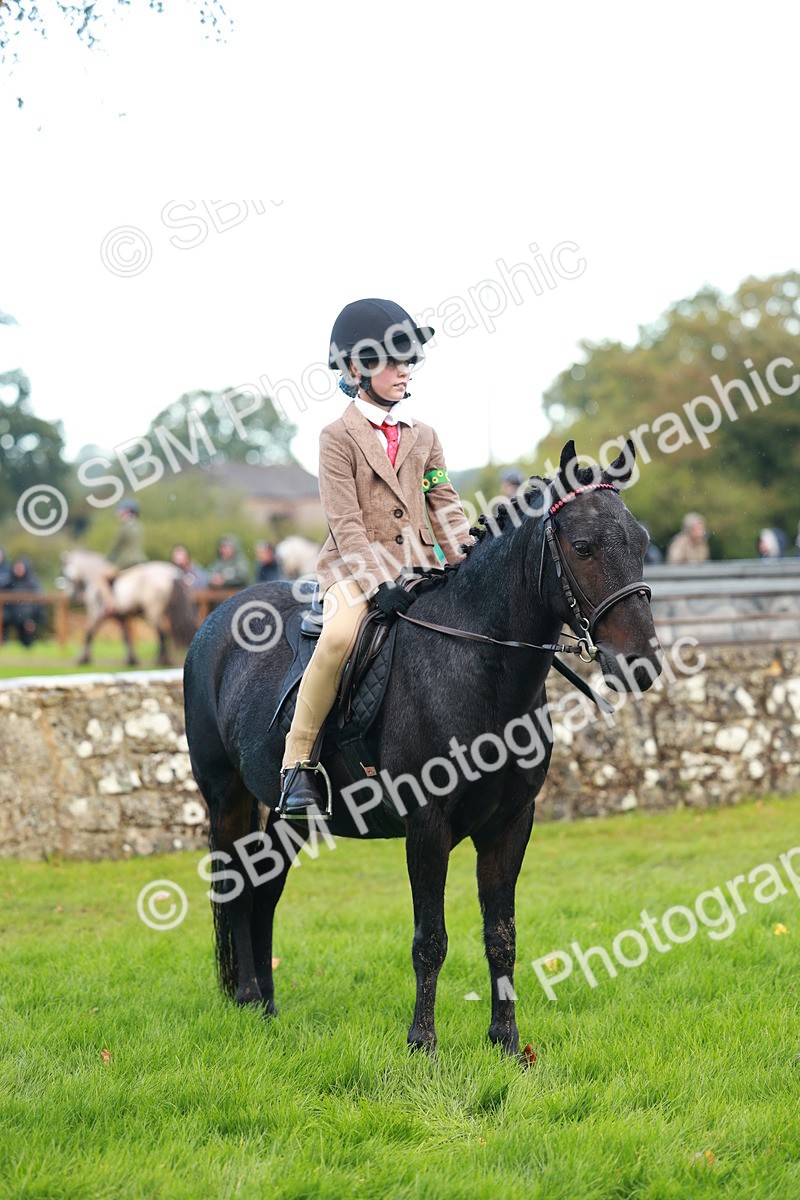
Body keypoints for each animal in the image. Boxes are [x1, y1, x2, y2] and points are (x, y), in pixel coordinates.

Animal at [60, 549, 198, 667]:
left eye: (65, 566)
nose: (71, 594)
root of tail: (171, 573)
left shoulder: (96, 613)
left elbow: (89, 633)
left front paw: (83, 659)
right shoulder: (122, 617)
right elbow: (126, 637)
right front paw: (132, 660)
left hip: (153, 611)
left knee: (162, 633)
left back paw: (160, 660)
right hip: (165, 612)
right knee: (167, 633)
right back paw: (166, 659)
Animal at [183, 441, 662, 1057]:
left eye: (642, 541)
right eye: (582, 547)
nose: (640, 662)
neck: (480, 665)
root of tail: (215, 618)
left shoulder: (511, 824)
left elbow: (501, 934)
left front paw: (507, 1043)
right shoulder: (427, 826)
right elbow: (429, 938)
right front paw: (422, 1044)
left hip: (291, 815)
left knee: (264, 891)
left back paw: (266, 1004)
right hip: (227, 797)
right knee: (237, 888)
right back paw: (245, 997)